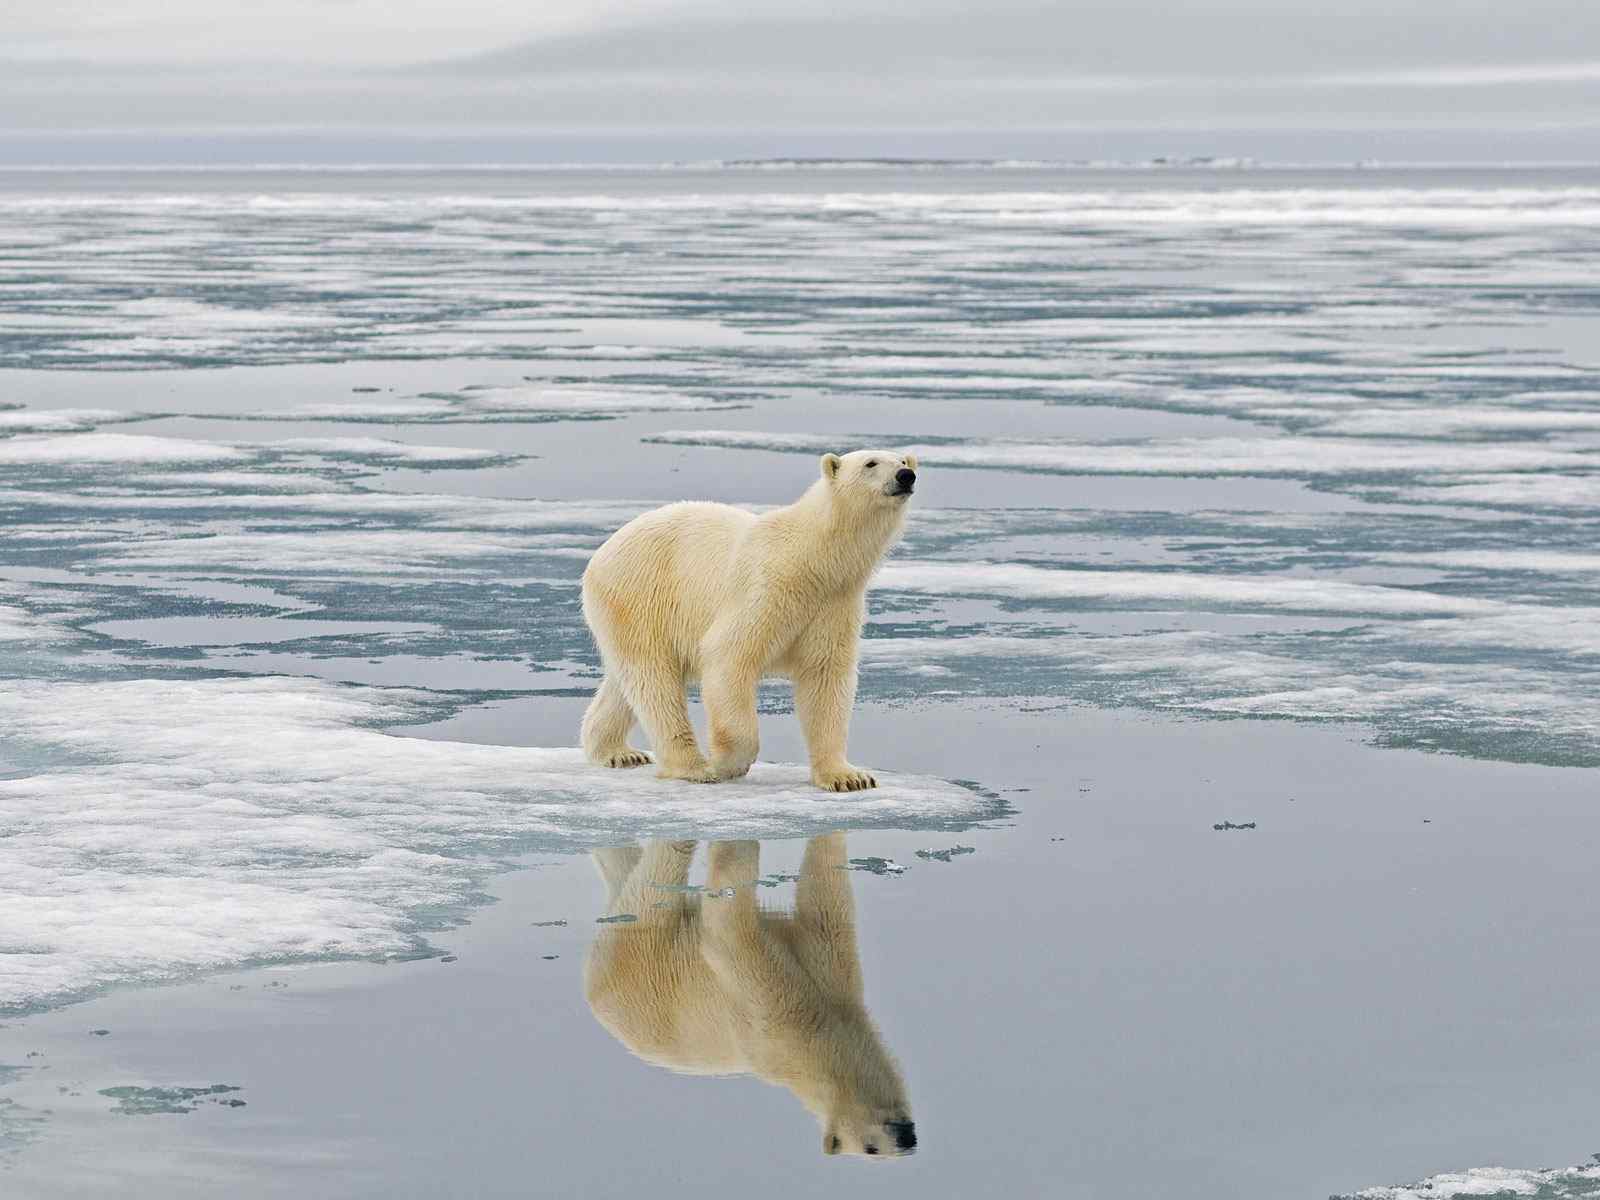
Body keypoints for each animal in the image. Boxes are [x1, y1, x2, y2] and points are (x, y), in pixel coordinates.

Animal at [582, 448, 921, 790]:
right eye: (871, 463)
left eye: (903, 461)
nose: (906, 476)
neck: (813, 560)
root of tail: (601, 554)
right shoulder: (767, 589)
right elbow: (728, 655)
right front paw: (726, 764)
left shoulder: (835, 603)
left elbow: (825, 677)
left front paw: (848, 777)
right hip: (640, 594)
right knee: (653, 679)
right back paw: (692, 767)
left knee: (626, 683)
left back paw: (618, 752)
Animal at [585, 832, 915, 1158]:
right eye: (870, 1148)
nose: (905, 1137)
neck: (817, 1036)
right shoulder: (771, 1015)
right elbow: (727, 932)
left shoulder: (827, 972)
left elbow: (822, 898)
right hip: (641, 960)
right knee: (658, 882)